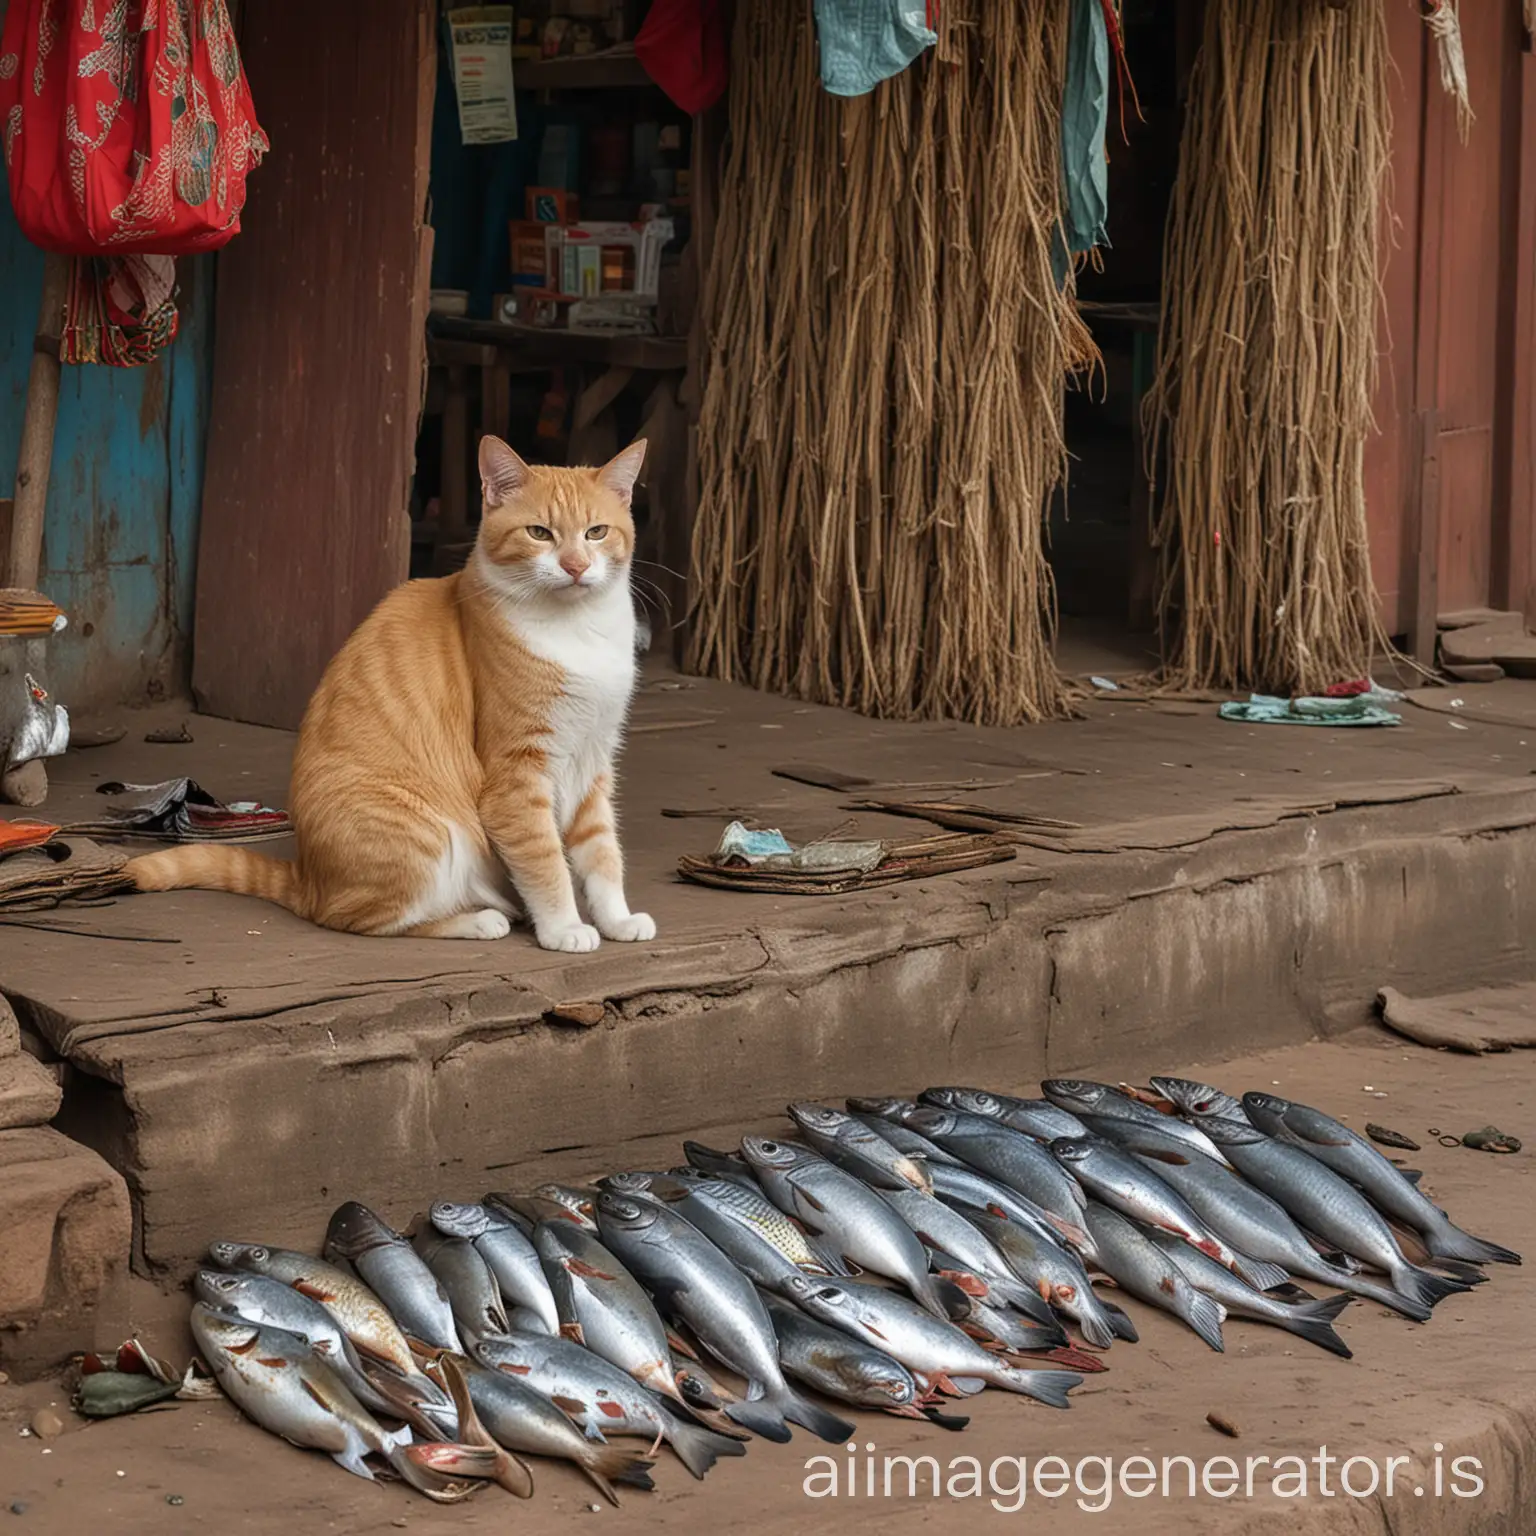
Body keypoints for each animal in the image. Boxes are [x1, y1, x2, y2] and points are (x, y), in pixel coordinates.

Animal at [129, 433, 657, 952]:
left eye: (596, 533)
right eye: (539, 533)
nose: (575, 566)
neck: (578, 632)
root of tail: (308, 880)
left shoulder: (593, 762)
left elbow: (602, 852)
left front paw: (617, 918)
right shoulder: (517, 778)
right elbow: (546, 862)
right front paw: (564, 928)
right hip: (430, 836)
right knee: (367, 919)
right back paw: (478, 920)